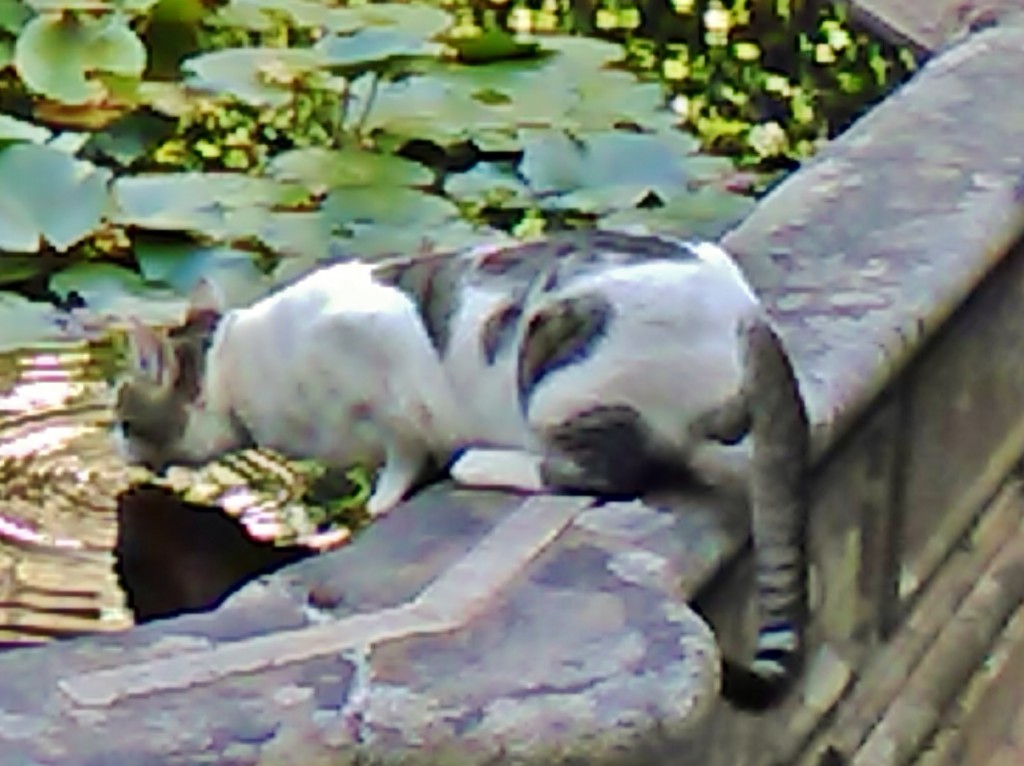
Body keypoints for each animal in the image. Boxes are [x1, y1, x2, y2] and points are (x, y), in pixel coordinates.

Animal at [114, 230, 806, 708]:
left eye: (121, 417)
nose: (114, 447)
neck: (236, 364)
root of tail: (748, 313)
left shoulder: (390, 349)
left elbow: (403, 444)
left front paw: (382, 499)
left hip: (555, 375)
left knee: (608, 471)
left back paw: (479, 462)